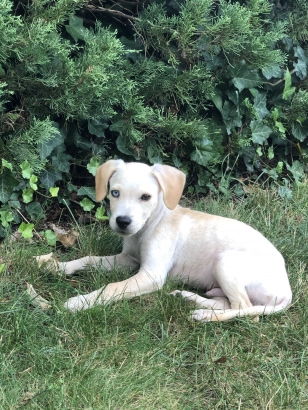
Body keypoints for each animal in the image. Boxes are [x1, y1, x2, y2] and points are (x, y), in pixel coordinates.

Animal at [55, 159, 292, 322]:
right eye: (114, 193)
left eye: (146, 197)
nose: (122, 222)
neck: (149, 226)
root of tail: (286, 291)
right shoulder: (128, 259)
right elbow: (89, 258)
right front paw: (57, 266)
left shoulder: (152, 275)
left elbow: (111, 287)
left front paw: (80, 302)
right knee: (229, 303)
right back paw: (189, 298)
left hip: (225, 262)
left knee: (246, 309)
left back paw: (205, 316)